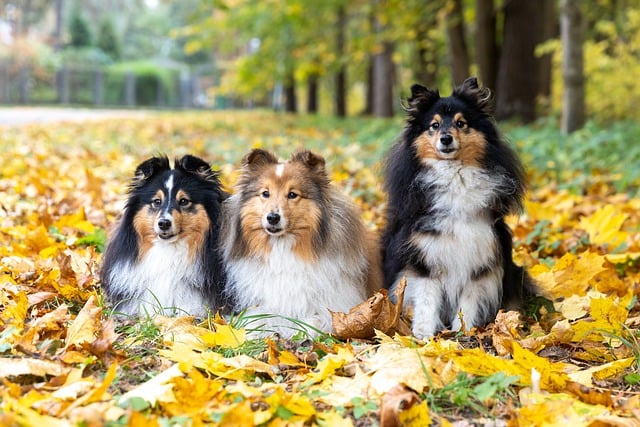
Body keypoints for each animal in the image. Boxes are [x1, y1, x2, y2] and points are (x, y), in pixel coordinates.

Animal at [222, 150, 380, 338]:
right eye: (265, 193)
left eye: (292, 194)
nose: (272, 217)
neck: (283, 249)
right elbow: (256, 319)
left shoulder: (338, 307)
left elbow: (312, 322)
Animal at [382, 76, 532, 338]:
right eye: (434, 125)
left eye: (461, 123)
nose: (446, 138)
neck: (454, 177)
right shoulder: (424, 256)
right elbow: (426, 298)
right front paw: (423, 334)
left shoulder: (480, 256)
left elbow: (469, 300)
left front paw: (465, 331)